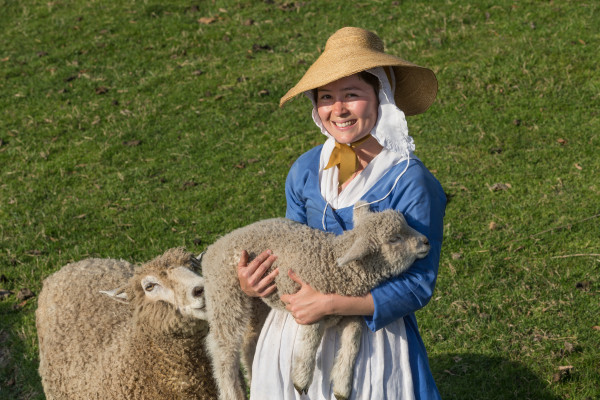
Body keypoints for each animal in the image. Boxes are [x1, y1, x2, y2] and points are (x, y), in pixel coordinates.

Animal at [202, 202, 432, 400]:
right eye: (394, 239)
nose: (427, 241)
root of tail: (214, 246)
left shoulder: (350, 313)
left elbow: (353, 341)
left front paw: (342, 385)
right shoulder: (307, 303)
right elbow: (312, 337)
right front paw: (301, 378)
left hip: (256, 301)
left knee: (249, 341)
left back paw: (252, 376)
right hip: (224, 294)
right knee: (223, 349)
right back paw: (232, 392)